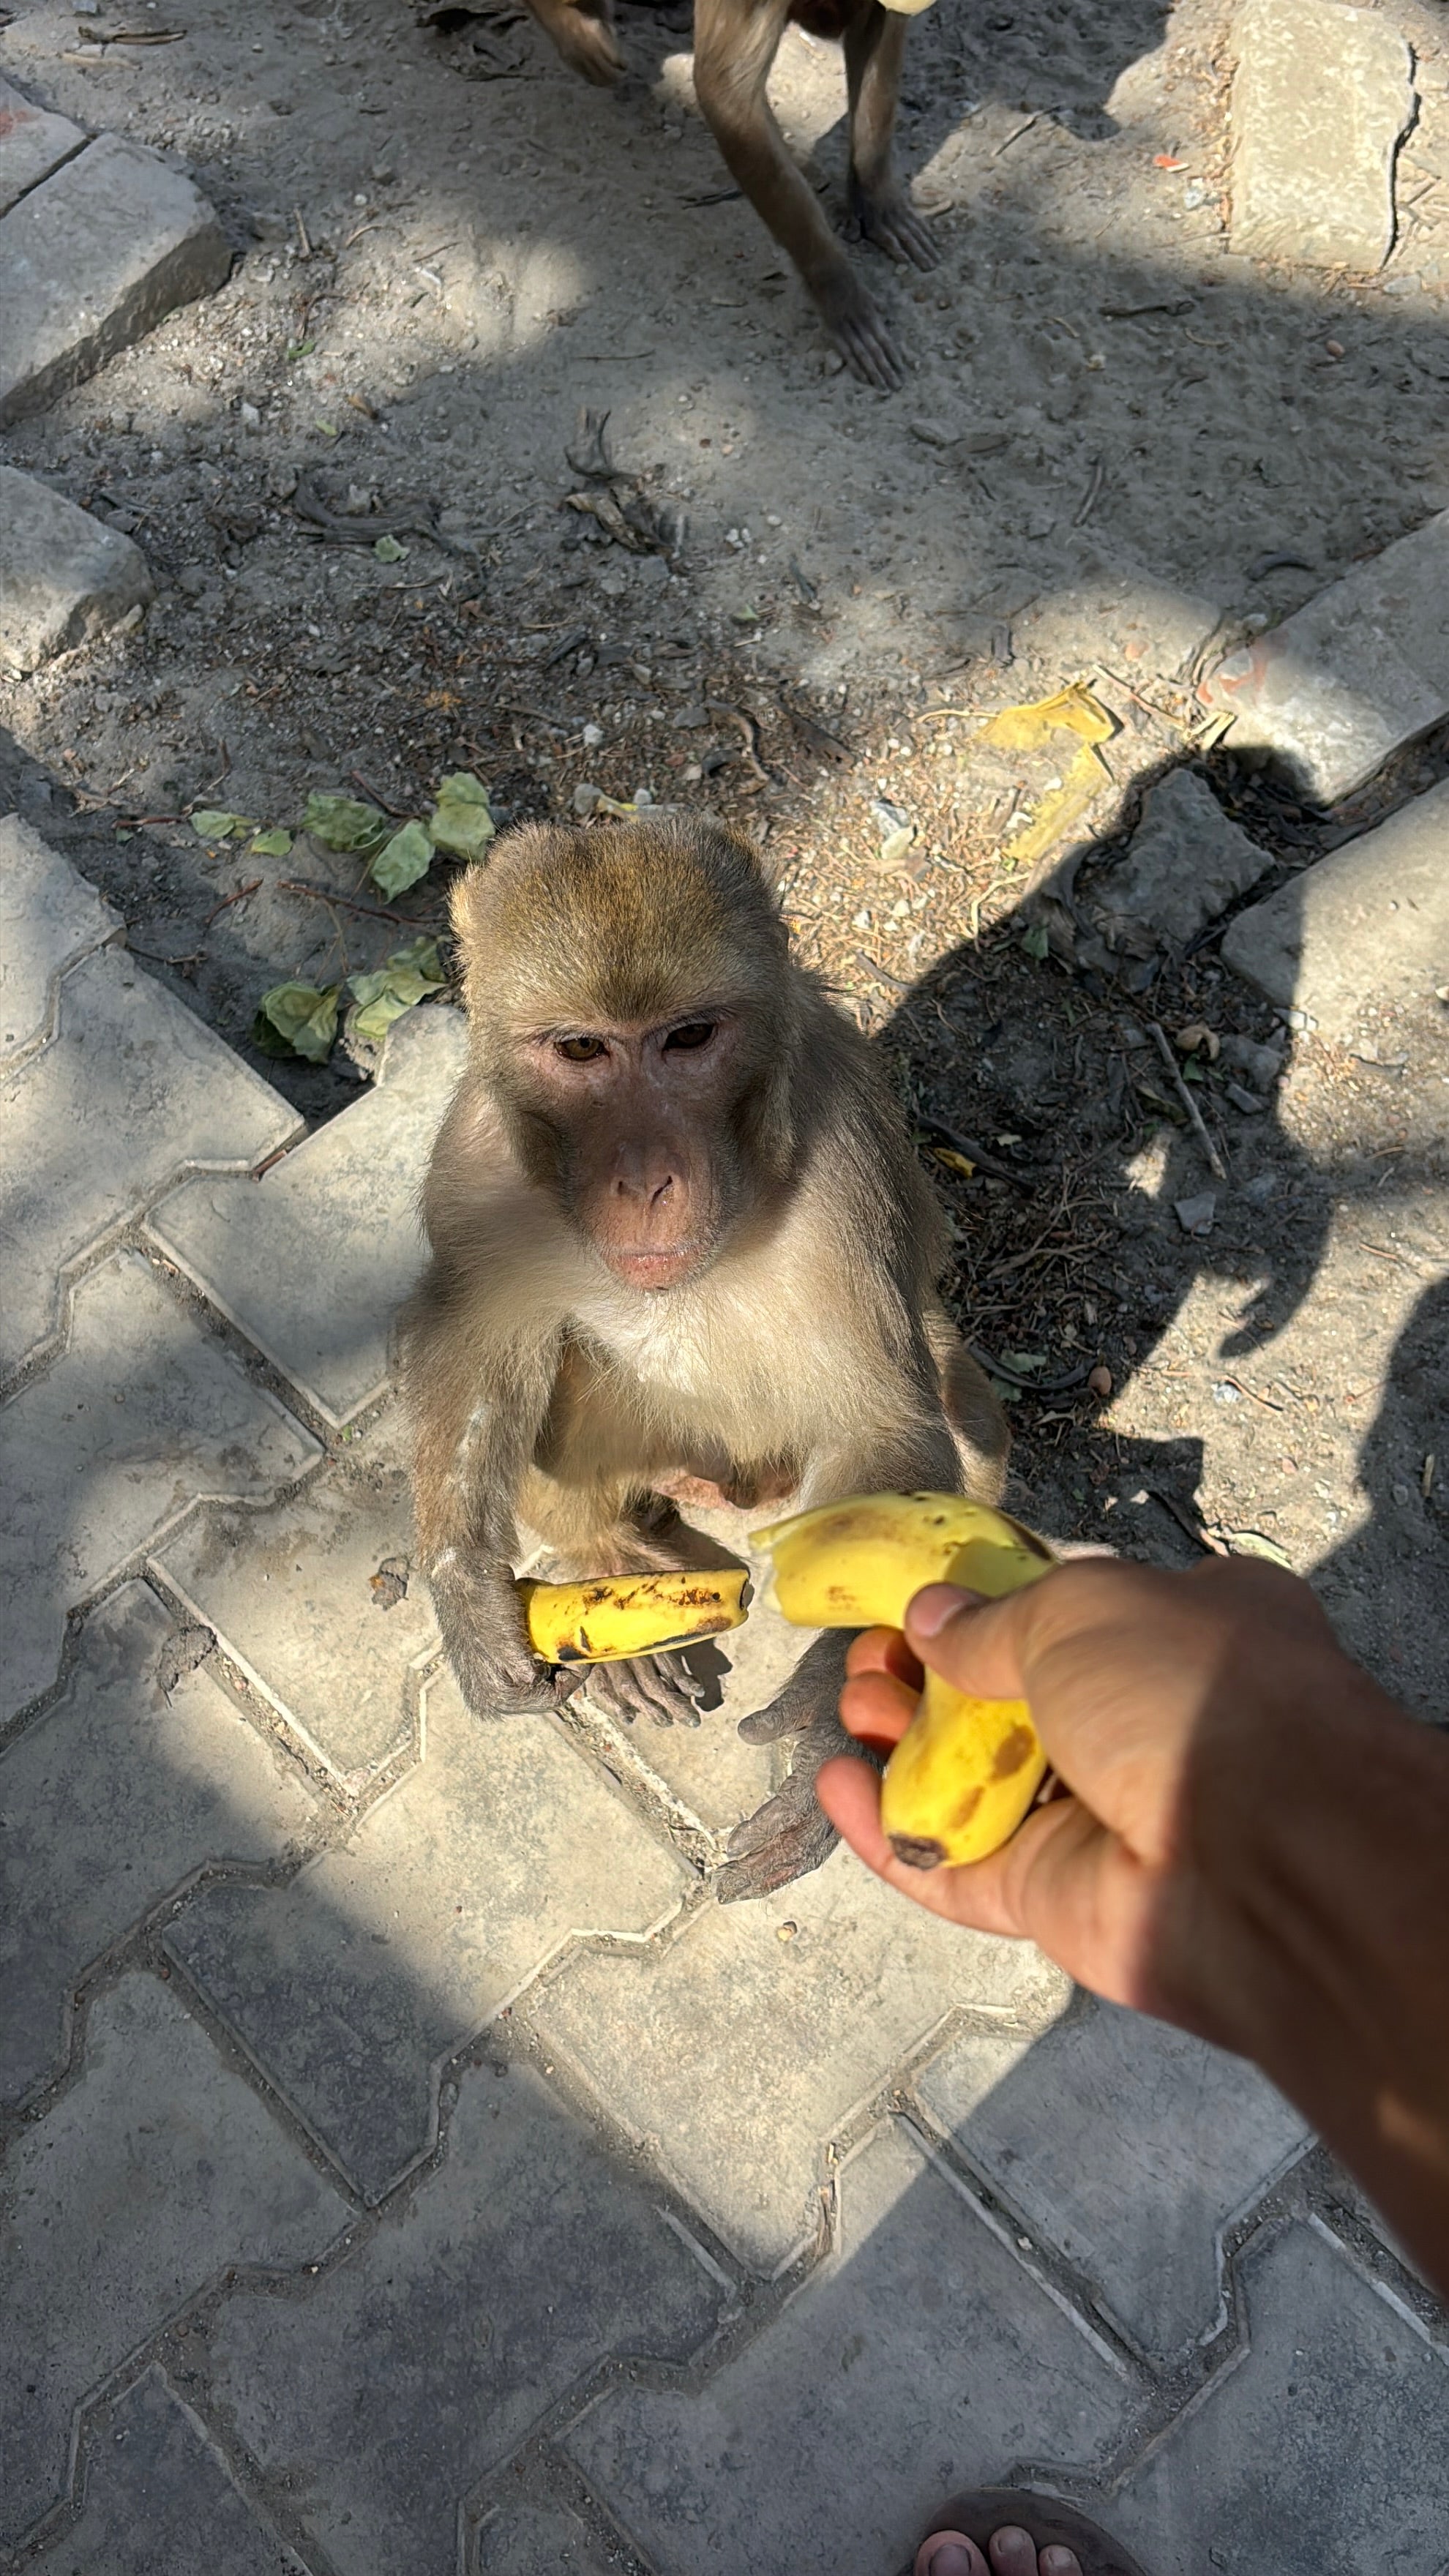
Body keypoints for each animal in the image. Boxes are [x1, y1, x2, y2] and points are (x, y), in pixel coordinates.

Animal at [401, 815, 1008, 1901]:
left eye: (687, 1039)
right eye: (581, 1048)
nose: (647, 1178)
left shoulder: (845, 1163)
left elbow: (886, 1428)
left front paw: (833, 1723)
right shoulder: (475, 1157)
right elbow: (476, 1351)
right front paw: (464, 1588)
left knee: (959, 1425)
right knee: (553, 1366)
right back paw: (606, 1557)